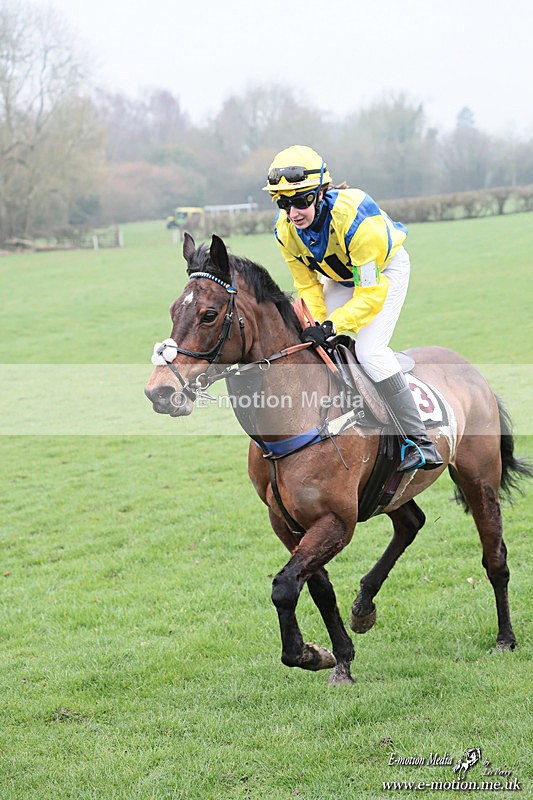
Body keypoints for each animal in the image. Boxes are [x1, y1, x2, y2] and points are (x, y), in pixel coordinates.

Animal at [145, 233, 530, 686]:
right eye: (174, 310)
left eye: (208, 314)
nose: (160, 391)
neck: (295, 416)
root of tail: (472, 371)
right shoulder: (287, 522)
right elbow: (317, 588)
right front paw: (341, 658)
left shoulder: (336, 521)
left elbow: (284, 585)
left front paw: (309, 654)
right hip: (389, 488)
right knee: (411, 523)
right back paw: (364, 606)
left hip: (478, 477)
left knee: (495, 557)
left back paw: (505, 637)